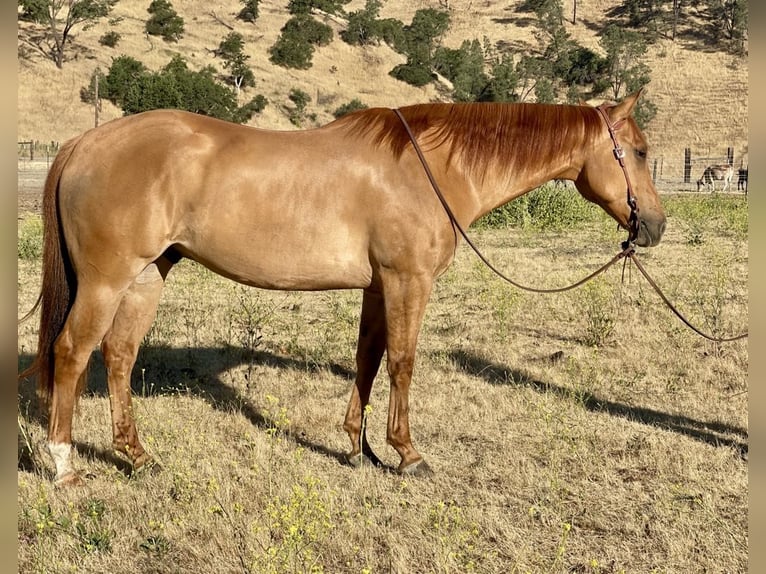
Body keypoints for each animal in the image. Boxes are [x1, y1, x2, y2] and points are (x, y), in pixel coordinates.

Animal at [19, 89, 664, 486]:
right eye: (637, 151)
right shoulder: (408, 281)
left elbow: (368, 359)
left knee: (119, 356)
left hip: (149, 275)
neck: (428, 169)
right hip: (107, 280)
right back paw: (65, 465)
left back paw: (137, 456)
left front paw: (358, 448)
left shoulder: (380, 286)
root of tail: (85, 143)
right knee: (72, 353)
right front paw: (407, 454)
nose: (654, 226)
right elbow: (402, 361)